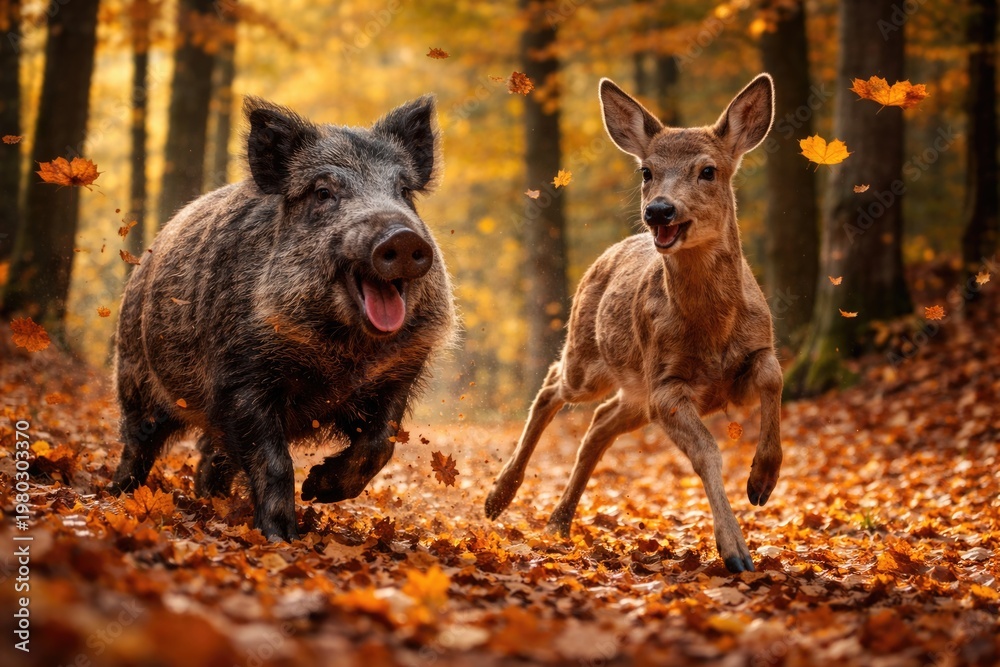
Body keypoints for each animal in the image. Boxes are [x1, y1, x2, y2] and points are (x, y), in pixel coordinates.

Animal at [108, 95, 455, 541]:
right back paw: (118, 495)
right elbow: (273, 460)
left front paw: (317, 491)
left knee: (210, 454)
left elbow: (380, 443)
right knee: (139, 442)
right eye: (323, 192)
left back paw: (213, 503)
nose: (403, 236)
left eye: (404, 192)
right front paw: (282, 536)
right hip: (134, 373)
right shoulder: (240, 377)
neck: (342, 355)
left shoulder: (400, 372)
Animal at [484, 74, 783, 573]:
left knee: (600, 423)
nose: (659, 210)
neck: (713, 329)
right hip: (591, 363)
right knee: (552, 385)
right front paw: (736, 552)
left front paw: (762, 481)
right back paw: (499, 497)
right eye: (646, 171)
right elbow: (707, 452)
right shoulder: (665, 384)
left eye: (708, 170)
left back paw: (558, 521)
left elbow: (774, 377)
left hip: (635, 394)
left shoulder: (754, 352)